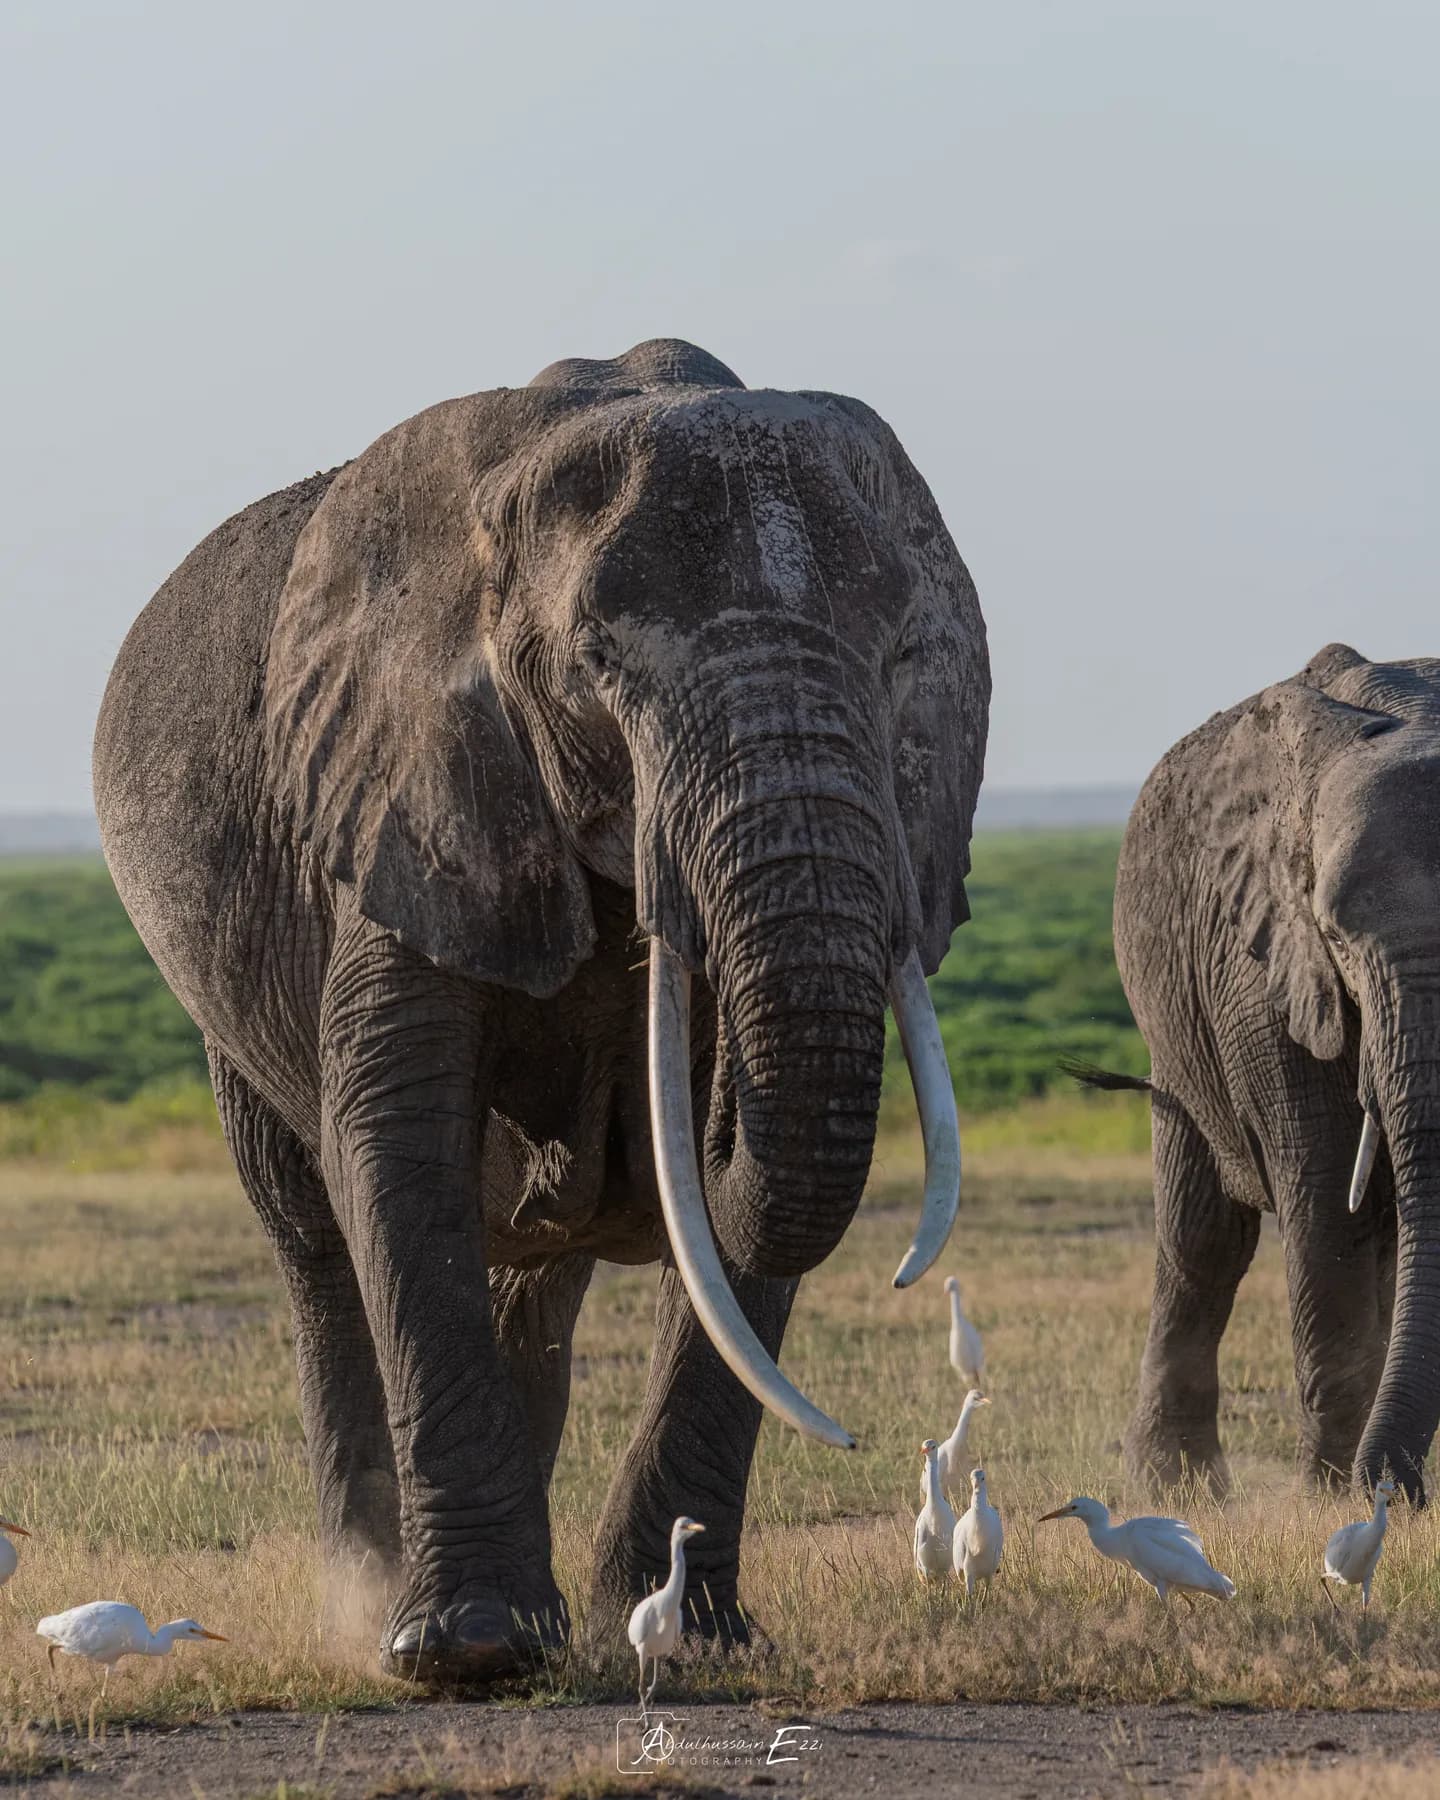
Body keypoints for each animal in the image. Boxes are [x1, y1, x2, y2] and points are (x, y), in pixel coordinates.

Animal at [93, 339, 990, 1682]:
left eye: (898, 664)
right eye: (599, 667)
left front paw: (688, 1642)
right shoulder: (404, 786)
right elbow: (394, 1135)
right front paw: (470, 1652)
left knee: (531, 1274)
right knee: (315, 1240)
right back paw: (368, 1600)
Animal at [1100, 642, 1440, 1503]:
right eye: (1334, 935)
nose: (1396, 1493)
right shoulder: (1263, 974)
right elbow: (1324, 1201)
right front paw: (1330, 1501)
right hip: (1178, 1040)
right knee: (1203, 1243)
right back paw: (1178, 1492)